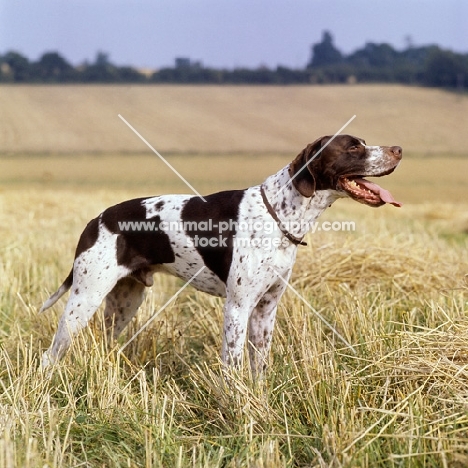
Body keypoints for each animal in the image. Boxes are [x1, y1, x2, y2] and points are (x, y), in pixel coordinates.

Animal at [39, 134, 402, 372]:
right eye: (354, 147)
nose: (398, 149)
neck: (279, 213)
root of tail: (97, 220)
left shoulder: (265, 310)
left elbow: (259, 368)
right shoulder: (238, 308)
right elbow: (233, 366)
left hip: (124, 303)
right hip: (84, 299)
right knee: (50, 355)